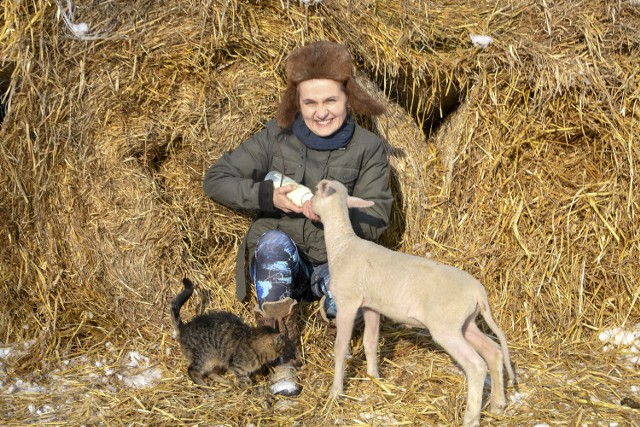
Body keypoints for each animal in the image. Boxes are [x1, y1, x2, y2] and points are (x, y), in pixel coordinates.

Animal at [310, 180, 516, 427]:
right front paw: (374, 376)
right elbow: (370, 342)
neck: (342, 245)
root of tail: (479, 292)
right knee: (493, 351)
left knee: (476, 366)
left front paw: (336, 392)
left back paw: (471, 418)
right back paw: (498, 404)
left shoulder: (347, 302)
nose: (307, 203)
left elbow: (340, 348)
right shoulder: (371, 306)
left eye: (315, 193)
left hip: (446, 328)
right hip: (465, 323)